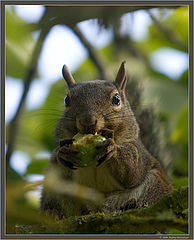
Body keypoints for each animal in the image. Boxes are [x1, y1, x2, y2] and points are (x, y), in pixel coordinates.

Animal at [40, 61, 173, 218]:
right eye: (67, 100)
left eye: (116, 99)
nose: (88, 121)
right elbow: (58, 167)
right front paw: (63, 154)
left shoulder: (138, 152)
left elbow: (133, 171)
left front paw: (112, 148)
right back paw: (52, 213)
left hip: (154, 184)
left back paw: (133, 205)